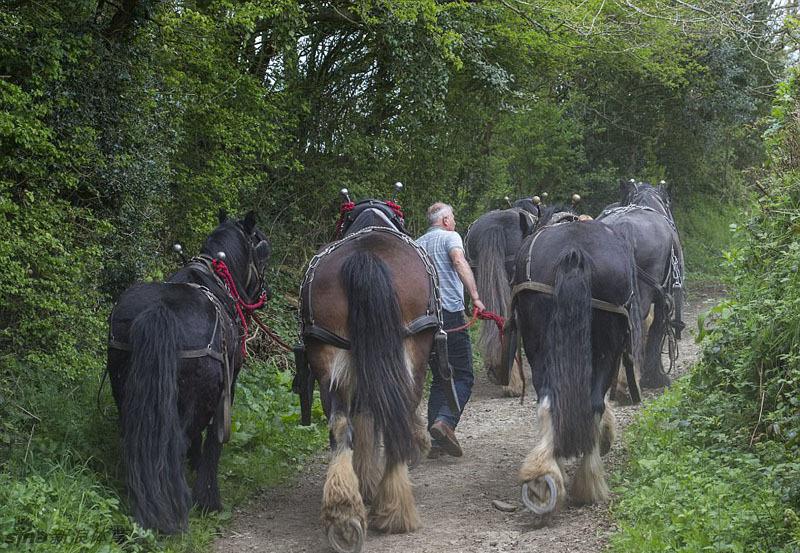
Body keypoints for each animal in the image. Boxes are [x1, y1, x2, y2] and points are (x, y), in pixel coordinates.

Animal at [106, 209, 272, 532]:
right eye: (261, 248)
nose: (264, 293)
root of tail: (159, 312)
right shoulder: (228, 385)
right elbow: (213, 440)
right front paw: (208, 496)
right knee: (178, 441)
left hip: (126, 391)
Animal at [296, 194, 446, 552]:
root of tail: (366, 256)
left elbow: (361, 419)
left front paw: (363, 481)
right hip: (412, 352)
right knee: (396, 418)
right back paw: (394, 509)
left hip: (327, 356)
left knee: (340, 427)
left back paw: (343, 513)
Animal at [506, 206, 644, 516]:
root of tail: (574, 250)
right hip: (605, 344)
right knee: (588, 403)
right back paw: (585, 481)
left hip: (542, 346)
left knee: (552, 401)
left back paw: (545, 479)